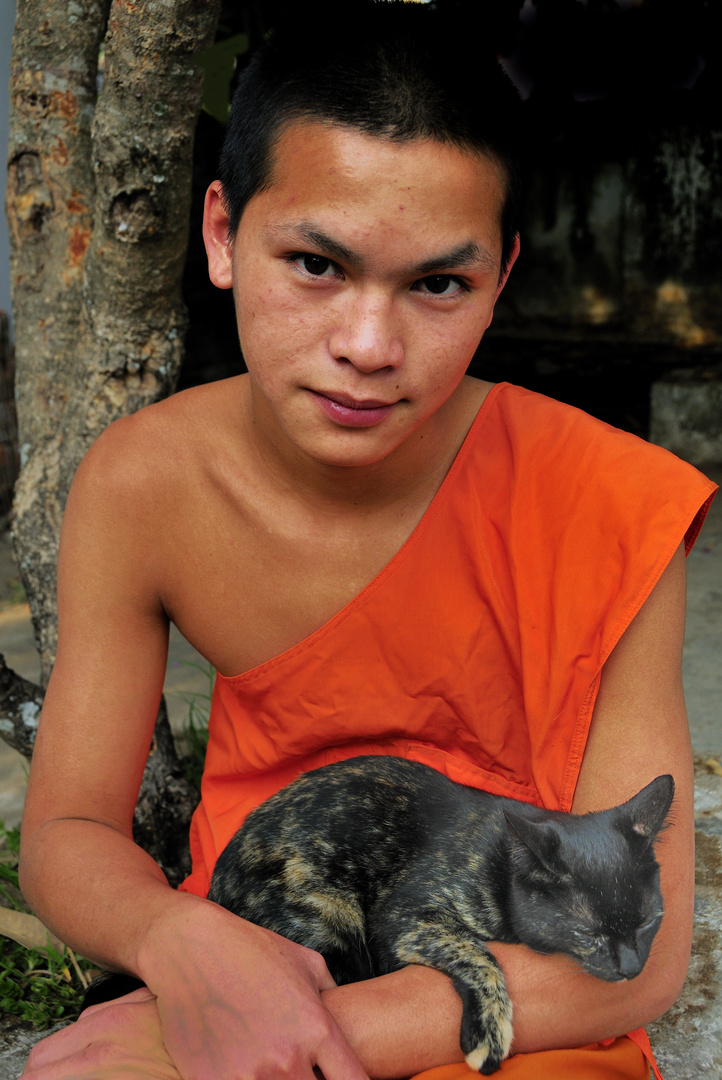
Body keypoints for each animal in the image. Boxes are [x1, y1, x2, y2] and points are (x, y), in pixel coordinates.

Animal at [207, 756, 669, 1075]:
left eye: (648, 922)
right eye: (588, 933)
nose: (631, 967)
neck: (499, 865)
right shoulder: (401, 917)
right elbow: (479, 954)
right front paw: (488, 1036)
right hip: (331, 914)